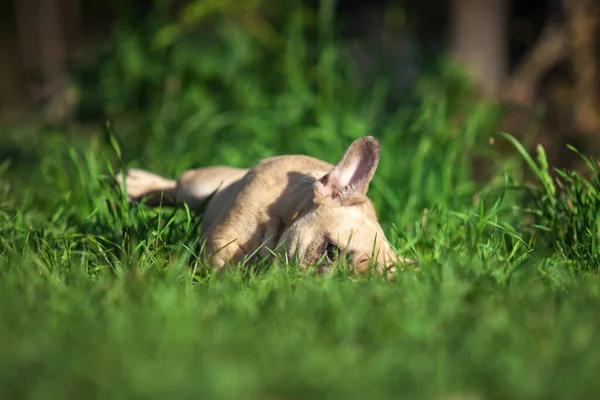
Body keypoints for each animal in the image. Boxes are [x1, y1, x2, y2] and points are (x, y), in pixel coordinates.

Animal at [116, 137, 412, 276]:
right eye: (330, 251)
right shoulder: (226, 235)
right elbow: (226, 259)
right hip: (200, 184)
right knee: (176, 188)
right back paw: (132, 184)